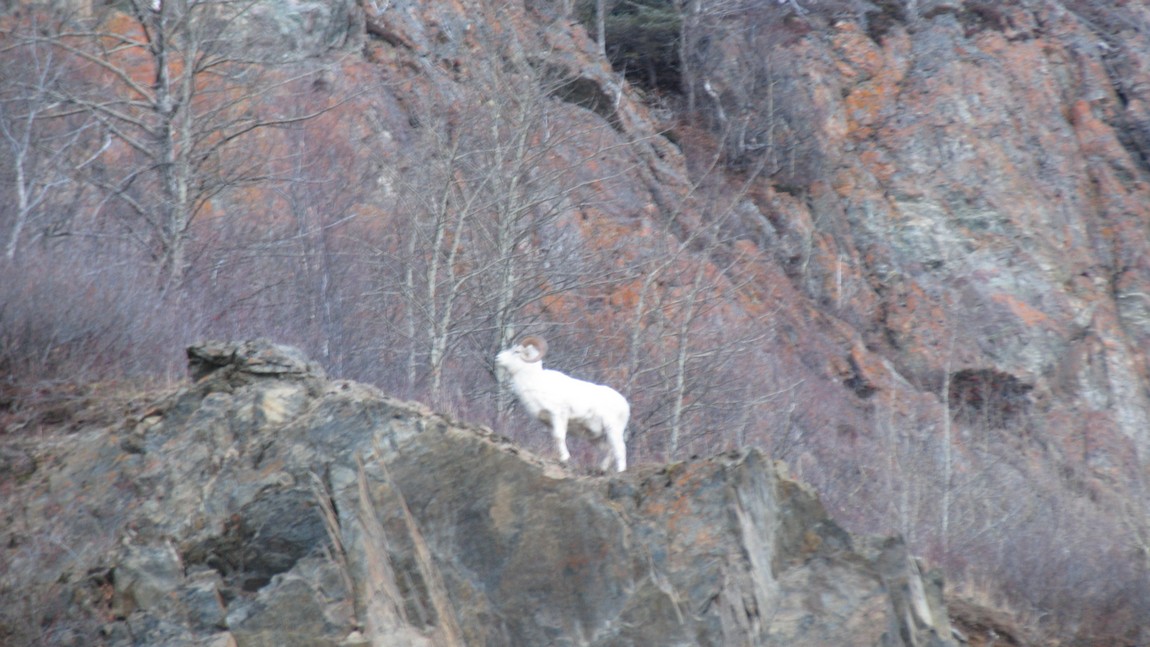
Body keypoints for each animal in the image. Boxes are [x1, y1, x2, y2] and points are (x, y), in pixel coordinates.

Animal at [495, 336, 629, 472]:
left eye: (516, 351)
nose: (497, 358)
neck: (534, 382)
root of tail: (625, 405)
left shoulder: (558, 415)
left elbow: (559, 436)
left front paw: (565, 458)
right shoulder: (549, 422)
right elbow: (555, 438)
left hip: (613, 430)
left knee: (620, 449)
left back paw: (620, 471)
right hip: (596, 437)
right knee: (609, 450)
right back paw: (602, 469)